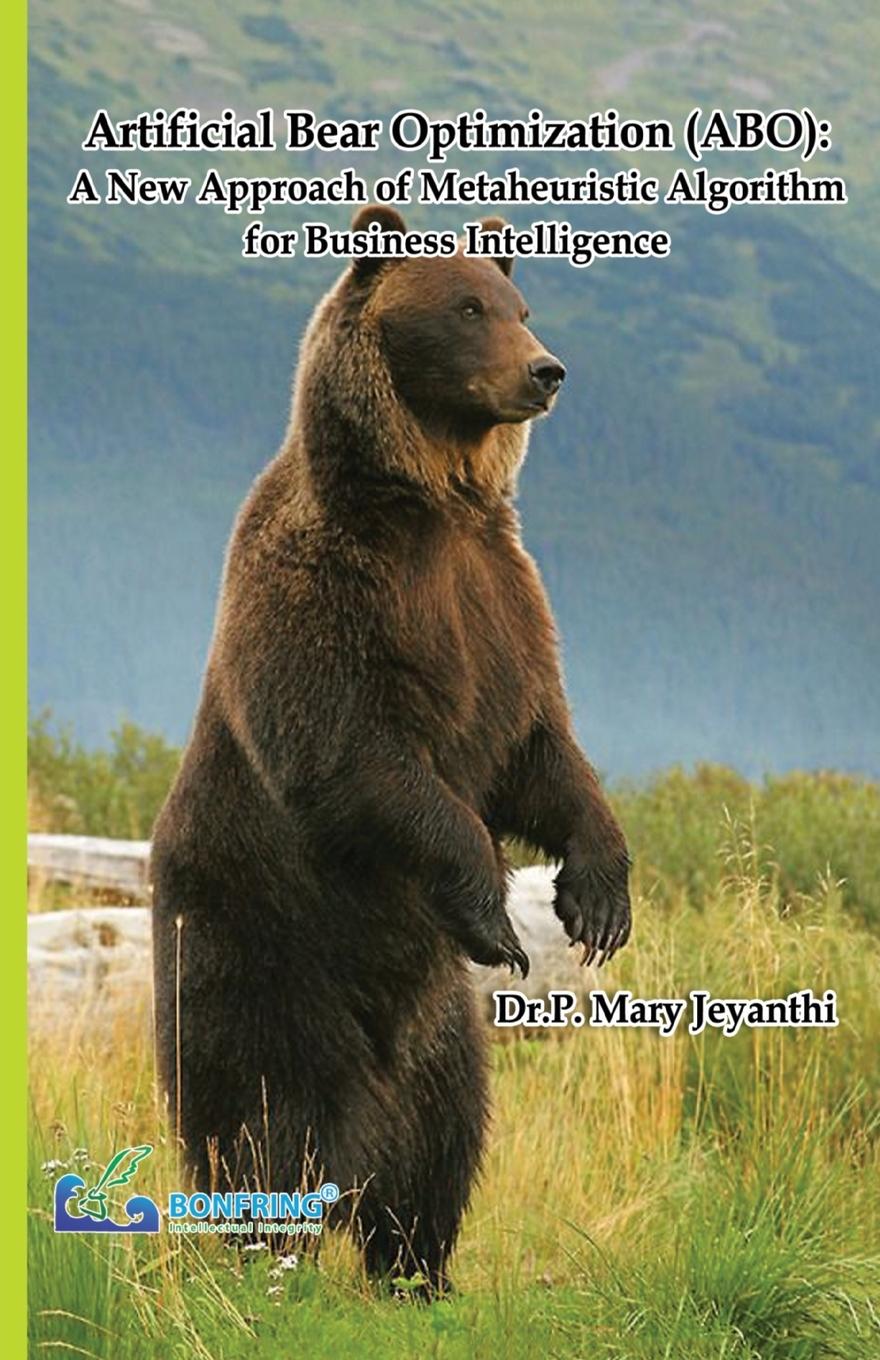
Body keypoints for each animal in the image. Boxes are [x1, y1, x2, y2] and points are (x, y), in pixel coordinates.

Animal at [151, 205, 631, 1296]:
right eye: (466, 309)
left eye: (517, 304)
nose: (547, 371)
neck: (429, 500)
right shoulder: (327, 596)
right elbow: (357, 757)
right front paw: (495, 905)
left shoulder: (499, 601)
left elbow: (544, 754)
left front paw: (597, 900)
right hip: (262, 959)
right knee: (265, 1127)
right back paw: (266, 1261)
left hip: (440, 1028)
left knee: (438, 1145)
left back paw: (419, 1272)